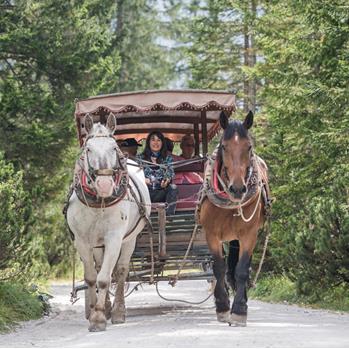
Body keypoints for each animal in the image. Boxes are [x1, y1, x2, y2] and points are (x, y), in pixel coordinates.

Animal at [66, 113, 150, 330]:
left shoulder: (114, 238)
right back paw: (106, 306)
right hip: (98, 243)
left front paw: (98, 319)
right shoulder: (82, 241)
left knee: (120, 271)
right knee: (100, 268)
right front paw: (96, 309)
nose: (104, 184)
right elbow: (91, 278)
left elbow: (104, 279)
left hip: (130, 239)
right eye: (88, 149)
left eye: (114, 148)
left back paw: (119, 311)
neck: (99, 201)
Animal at [198, 110, 270, 324]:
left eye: (249, 146)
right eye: (224, 146)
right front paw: (222, 306)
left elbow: (242, 269)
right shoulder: (212, 235)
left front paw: (239, 309)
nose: (237, 189)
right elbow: (219, 268)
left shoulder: (249, 234)